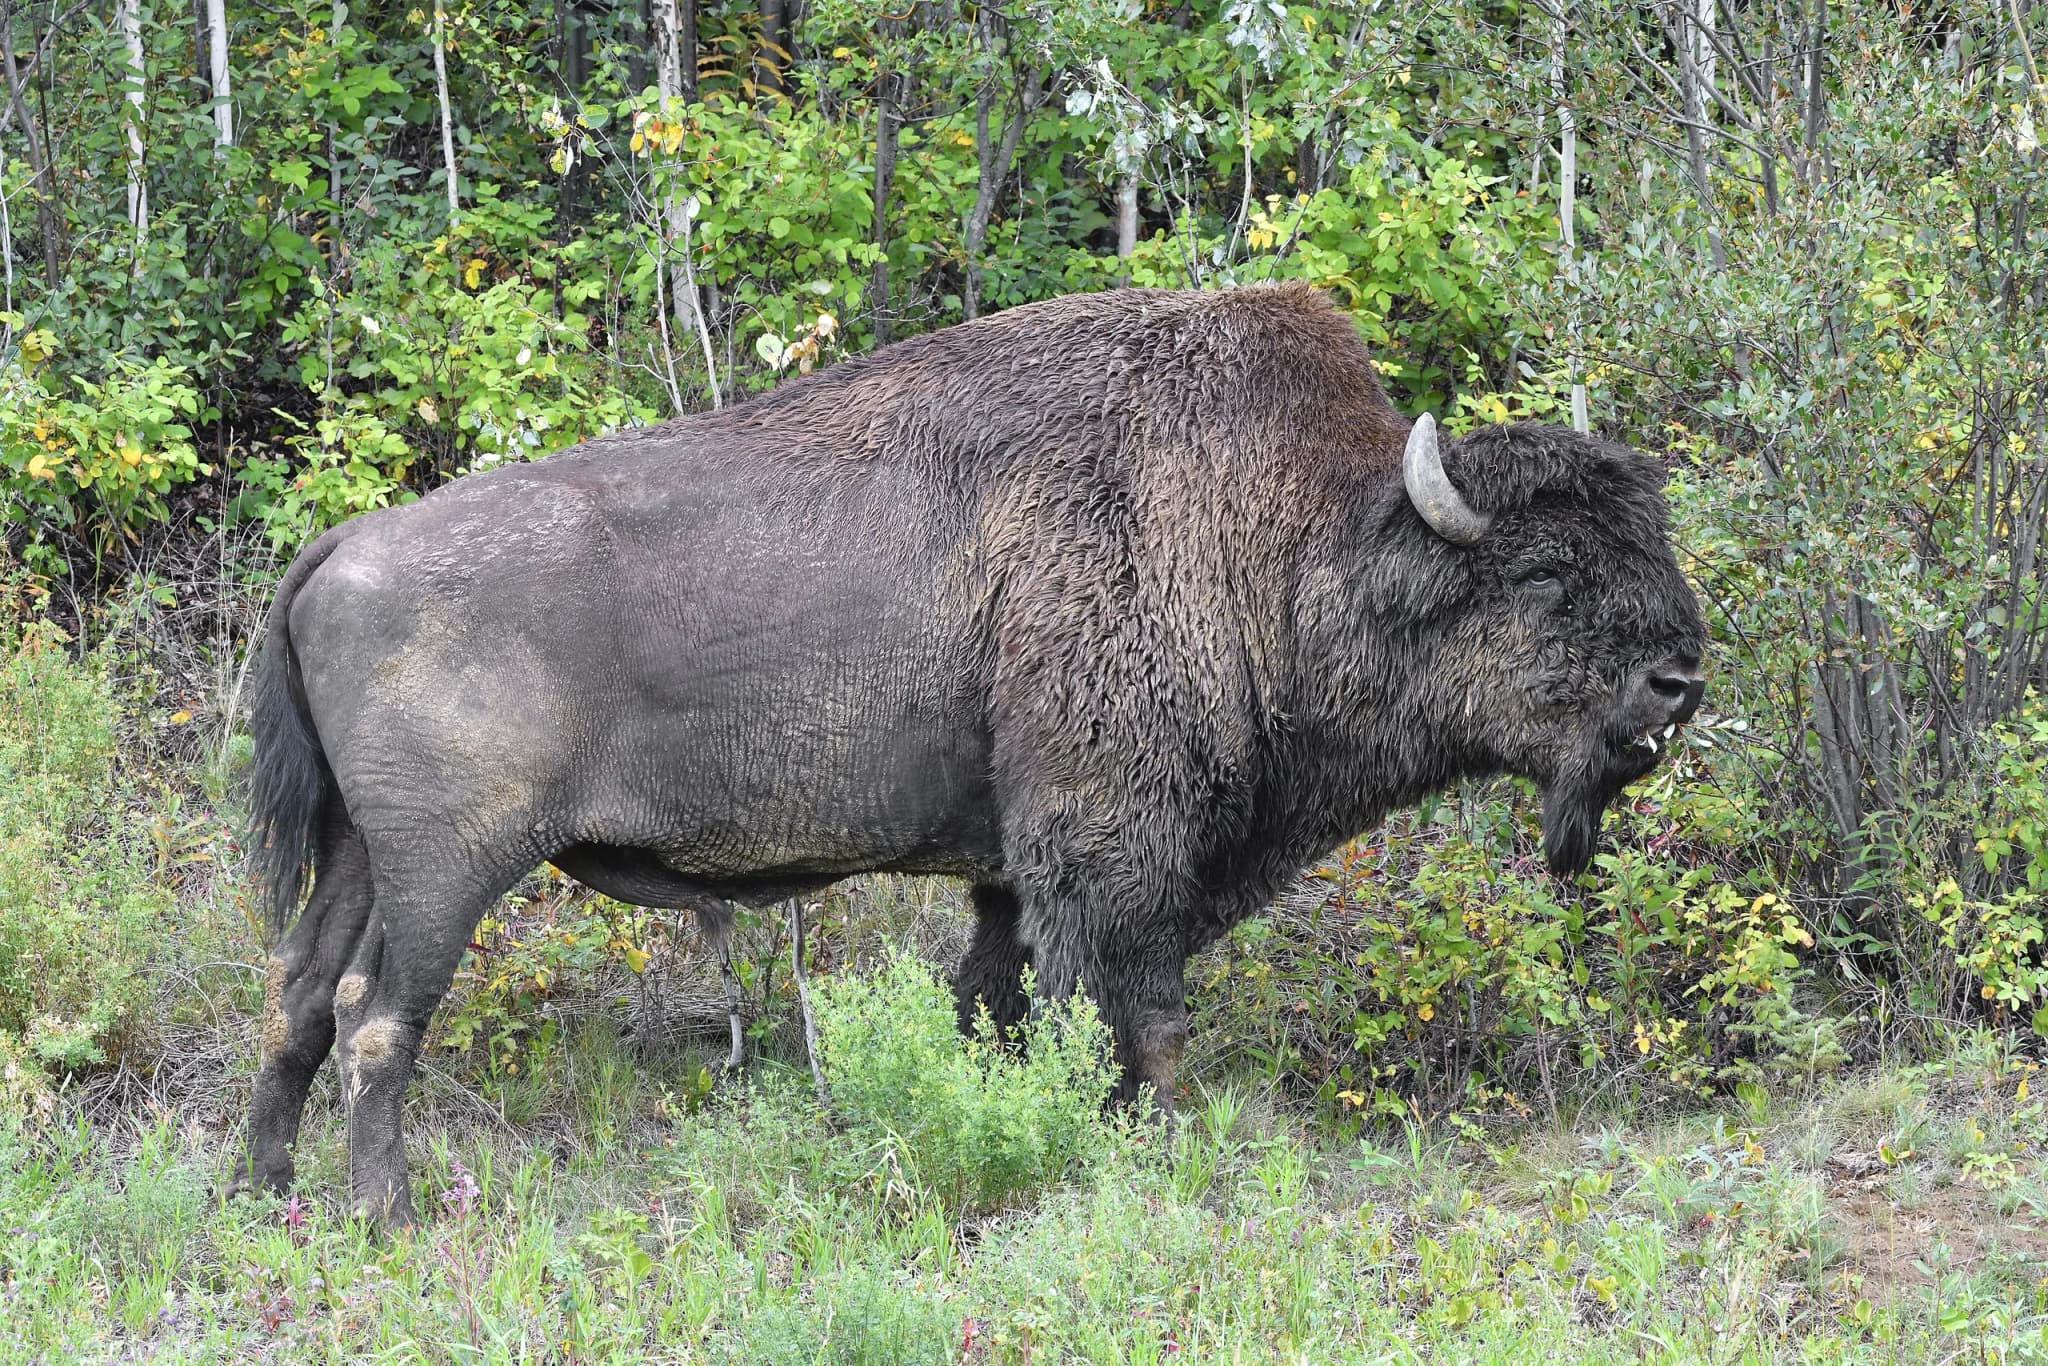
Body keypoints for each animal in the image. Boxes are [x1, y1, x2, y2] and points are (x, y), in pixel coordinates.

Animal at [233, 283, 1704, 1226]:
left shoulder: (1015, 869)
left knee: (300, 997)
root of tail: (338, 548)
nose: (1681, 679)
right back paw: (389, 1213)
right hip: (448, 869)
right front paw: (1153, 1146)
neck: (1287, 542)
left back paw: (262, 1189)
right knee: (378, 1016)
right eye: (1544, 576)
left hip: (359, 856)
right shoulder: (1112, 849)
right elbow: (1131, 1011)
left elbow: (995, 1000)